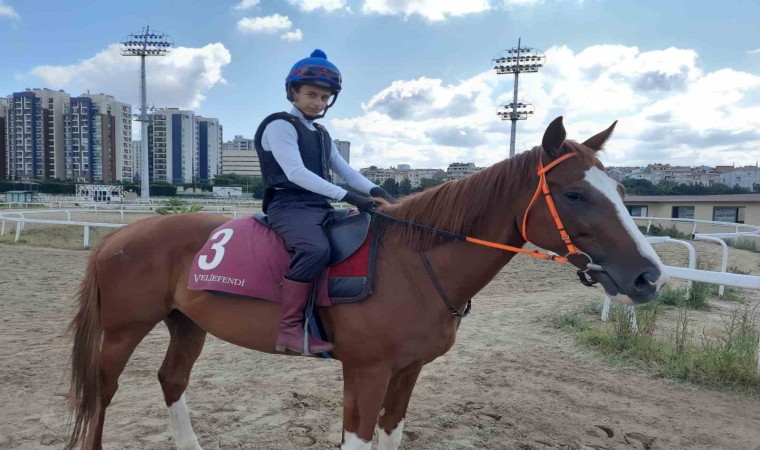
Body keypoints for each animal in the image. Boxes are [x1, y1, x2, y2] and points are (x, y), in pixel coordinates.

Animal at [65, 117, 666, 450]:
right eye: (575, 194)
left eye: (618, 190)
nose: (648, 276)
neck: (413, 264)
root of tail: (125, 235)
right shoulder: (366, 372)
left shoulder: (407, 372)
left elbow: (392, 434)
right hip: (124, 331)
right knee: (102, 392)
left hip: (187, 323)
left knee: (172, 380)